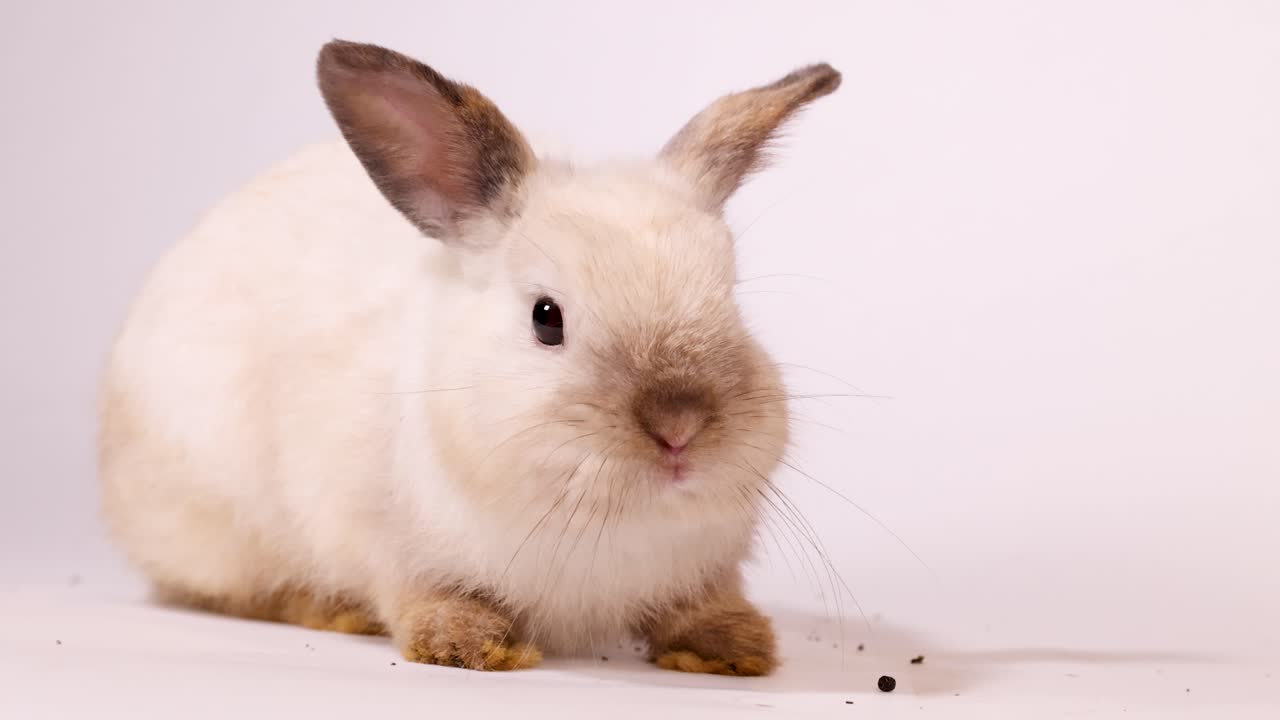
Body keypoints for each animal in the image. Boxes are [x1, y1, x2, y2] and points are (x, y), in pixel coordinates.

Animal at [98, 39, 841, 674]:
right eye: (546, 318)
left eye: (729, 297)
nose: (679, 427)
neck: (602, 517)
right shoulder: (381, 538)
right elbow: (421, 593)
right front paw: (471, 645)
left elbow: (700, 605)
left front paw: (733, 647)